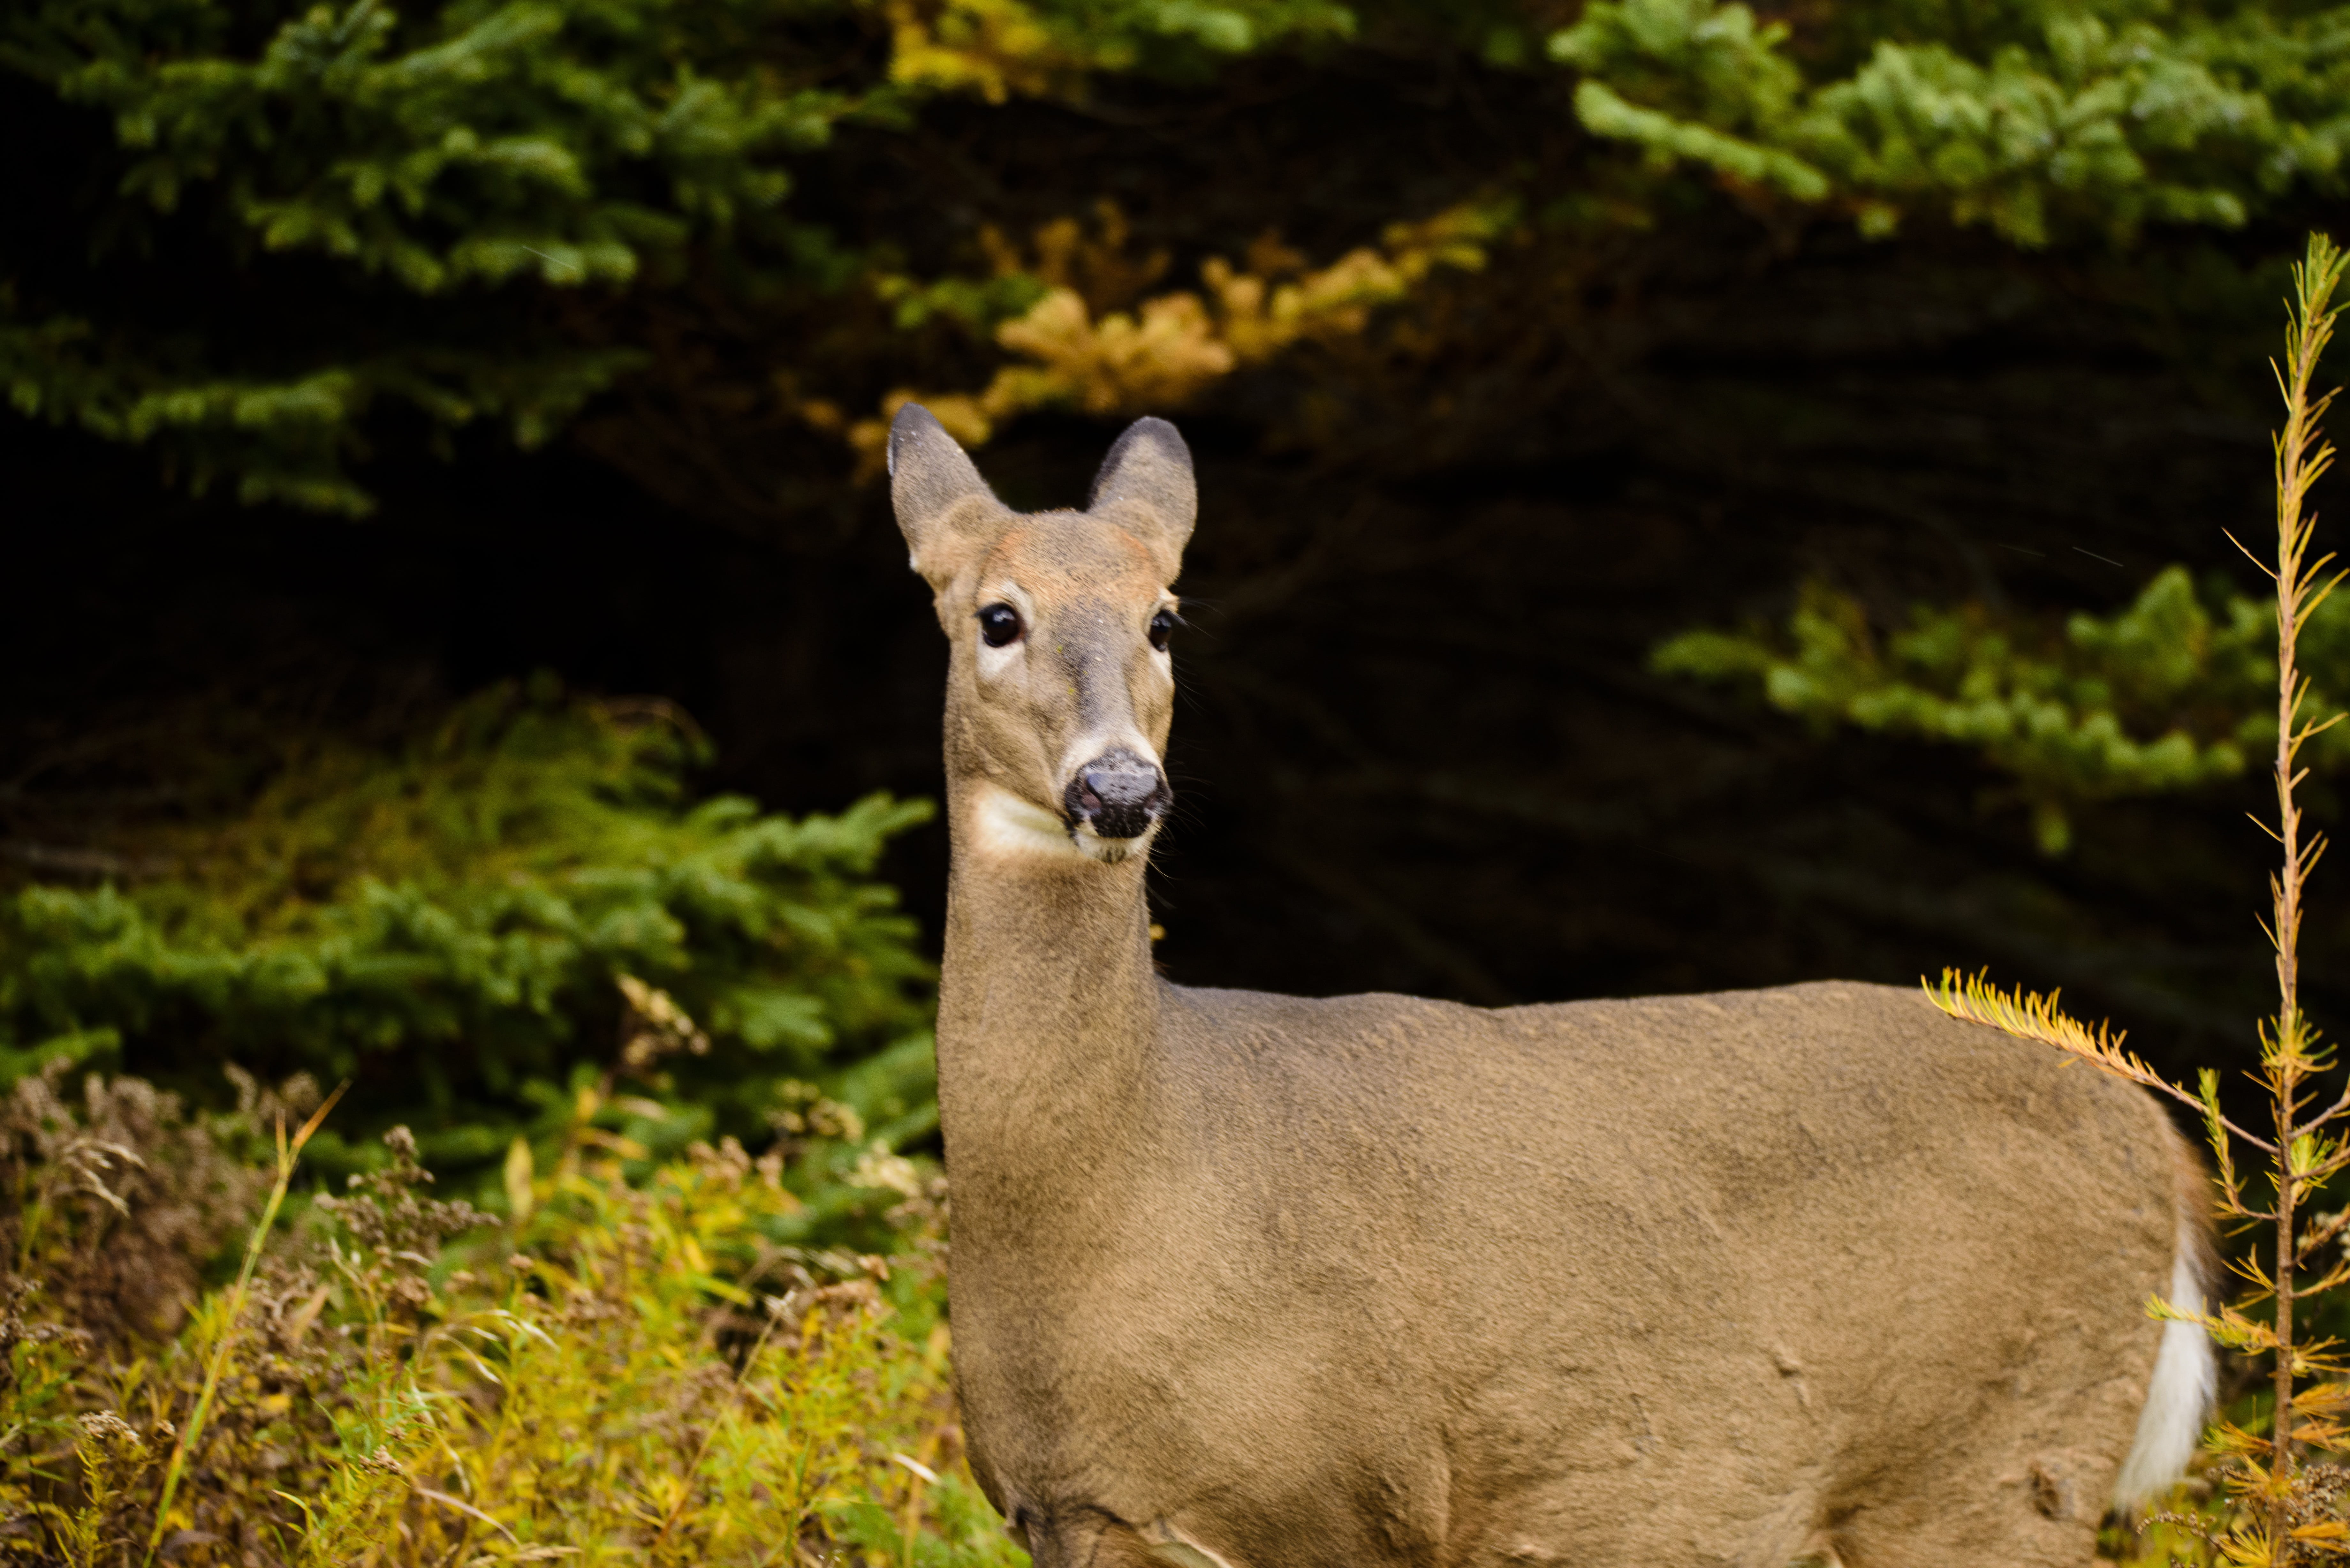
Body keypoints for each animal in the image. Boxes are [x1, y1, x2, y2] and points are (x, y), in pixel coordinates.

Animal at [886, 401, 2218, 1568]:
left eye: (1164, 619)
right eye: (997, 615)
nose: (1120, 788)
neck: (1134, 1189)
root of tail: (2158, 1141)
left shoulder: (1360, 1493)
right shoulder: (1072, 1511)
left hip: (1998, 1458)